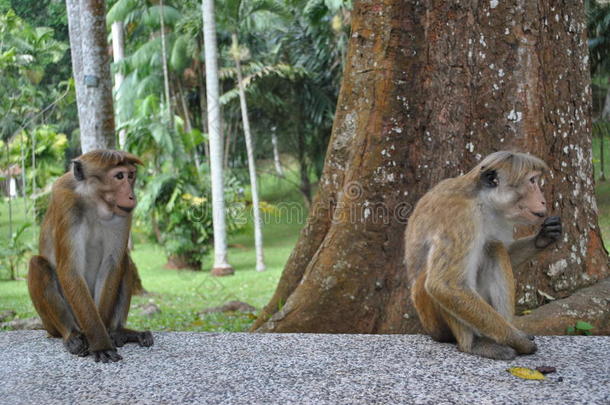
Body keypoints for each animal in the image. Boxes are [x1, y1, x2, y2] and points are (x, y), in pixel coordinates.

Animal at [27, 149, 153, 362]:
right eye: (119, 176)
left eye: (131, 175)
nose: (131, 196)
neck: (94, 203)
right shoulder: (66, 204)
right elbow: (70, 270)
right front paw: (101, 343)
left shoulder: (122, 214)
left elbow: (113, 264)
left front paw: (104, 333)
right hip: (51, 324)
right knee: (37, 264)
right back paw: (72, 335)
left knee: (125, 262)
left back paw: (118, 331)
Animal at [404, 152, 560, 360]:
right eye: (532, 181)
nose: (543, 200)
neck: (482, 201)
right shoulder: (462, 218)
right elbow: (445, 285)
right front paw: (518, 340)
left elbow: (507, 253)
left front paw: (543, 238)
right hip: (433, 321)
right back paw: (472, 345)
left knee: (494, 248)